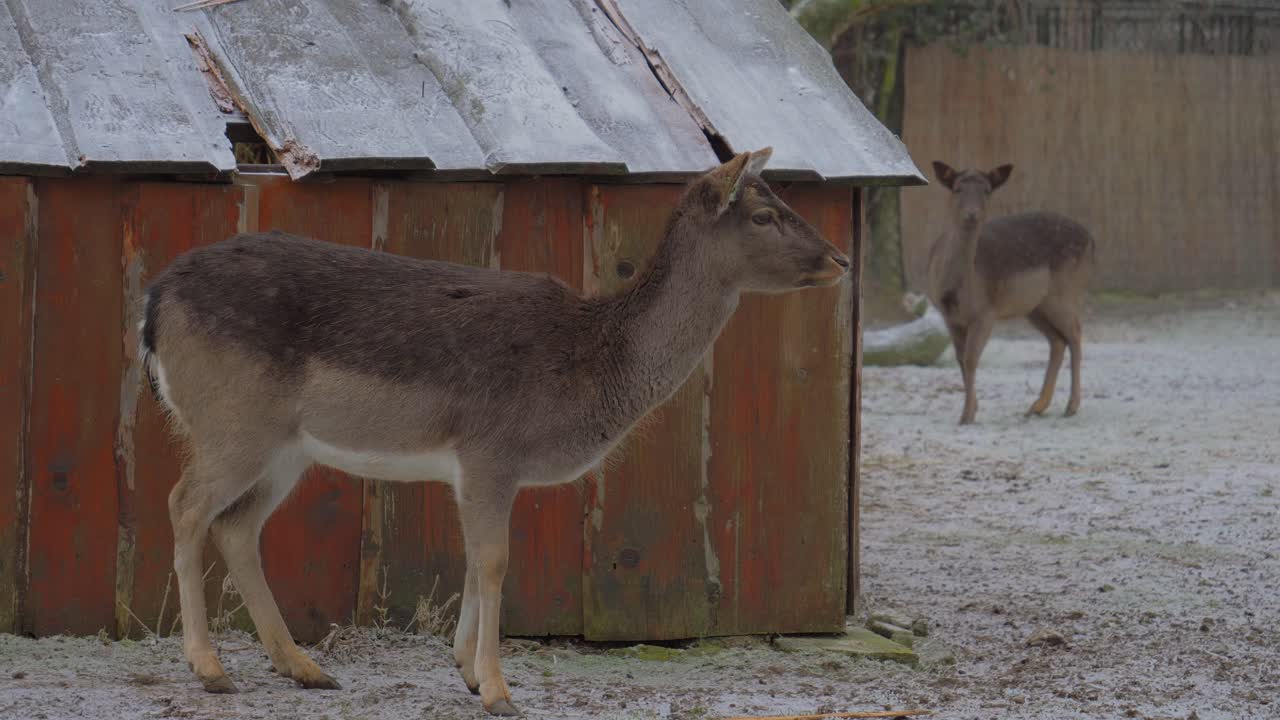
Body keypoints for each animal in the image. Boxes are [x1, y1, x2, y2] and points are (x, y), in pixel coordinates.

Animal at [139, 148, 850, 717]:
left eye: (783, 200)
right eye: (761, 215)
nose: (841, 257)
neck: (589, 372)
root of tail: (153, 304)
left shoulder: (473, 467)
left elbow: (472, 557)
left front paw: (468, 673)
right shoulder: (492, 449)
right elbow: (495, 560)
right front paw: (500, 689)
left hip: (287, 447)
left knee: (237, 525)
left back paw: (305, 668)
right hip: (234, 421)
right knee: (184, 504)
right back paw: (210, 668)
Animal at [925, 161, 1095, 425]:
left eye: (986, 190)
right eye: (957, 188)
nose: (972, 214)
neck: (955, 291)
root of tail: (1092, 241)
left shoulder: (986, 312)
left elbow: (971, 359)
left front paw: (967, 415)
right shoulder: (948, 316)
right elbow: (960, 359)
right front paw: (971, 409)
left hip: (1064, 291)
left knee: (1075, 333)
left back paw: (1071, 405)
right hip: (1034, 306)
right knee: (1057, 340)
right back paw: (1037, 406)